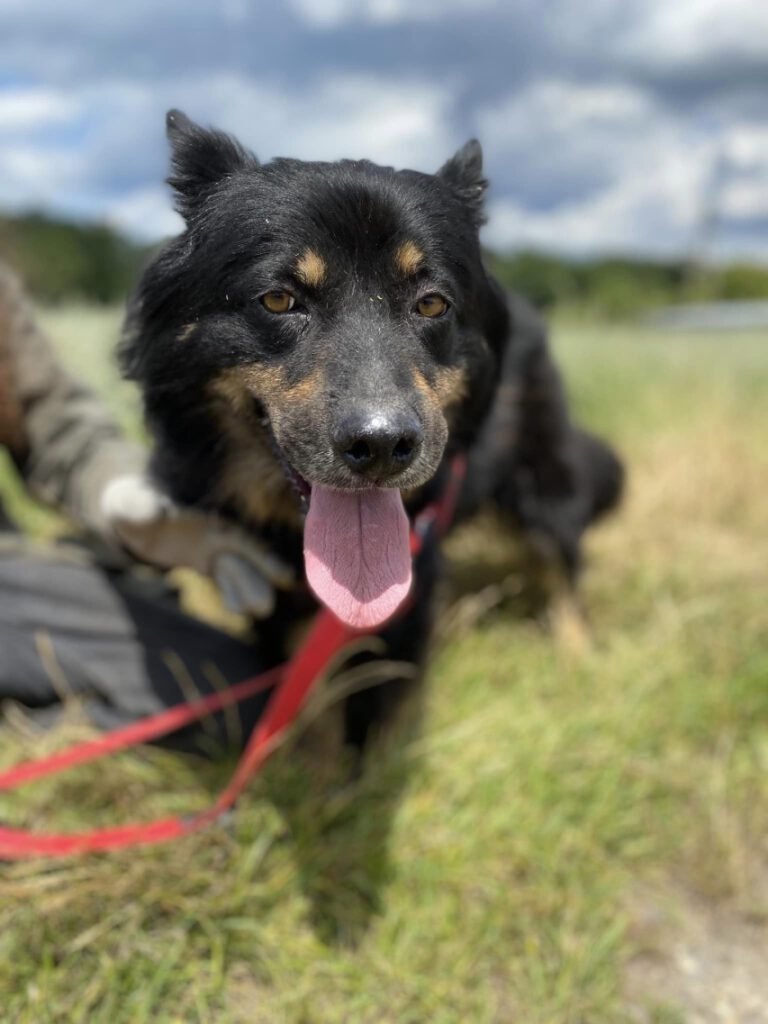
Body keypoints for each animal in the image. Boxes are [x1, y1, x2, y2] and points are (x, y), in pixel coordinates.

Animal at [121, 114, 626, 753]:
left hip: (542, 478)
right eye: (278, 299)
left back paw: (579, 656)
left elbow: (369, 719)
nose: (383, 446)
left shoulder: (409, 580)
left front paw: (353, 776)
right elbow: (288, 683)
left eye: (432, 303)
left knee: (563, 567)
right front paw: (287, 756)